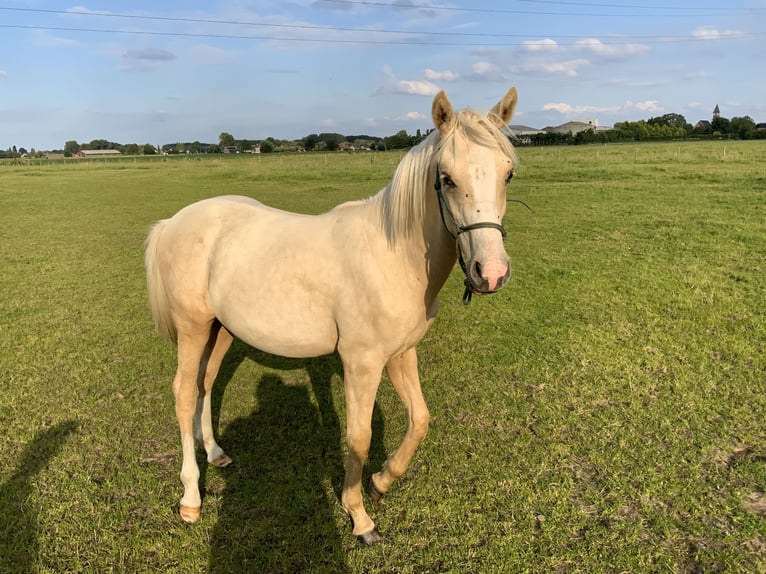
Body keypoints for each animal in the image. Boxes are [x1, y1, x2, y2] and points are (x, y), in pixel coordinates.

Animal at [145, 84, 520, 544]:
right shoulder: (361, 362)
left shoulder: (400, 354)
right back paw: (191, 498)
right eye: (447, 178)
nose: (492, 272)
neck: (394, 253)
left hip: (221, 331)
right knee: (183, 393)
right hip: (193, 328)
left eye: (507, 173)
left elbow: (419, 420)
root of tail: (172, 222)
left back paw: (216, 454)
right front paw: (359, 516)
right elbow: (359, 436)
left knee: (205, 385)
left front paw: (381, 481)